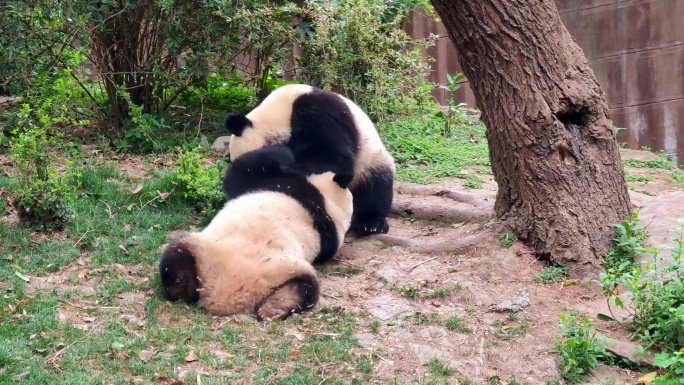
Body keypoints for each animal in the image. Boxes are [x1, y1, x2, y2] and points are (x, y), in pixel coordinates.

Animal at [160, 146, 352, 320]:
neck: (333, 207)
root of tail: (225, 295)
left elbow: (246, 167)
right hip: (203, 249)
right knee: (177, 255)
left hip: (284, 267)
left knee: (306, 287)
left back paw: (273, 309)